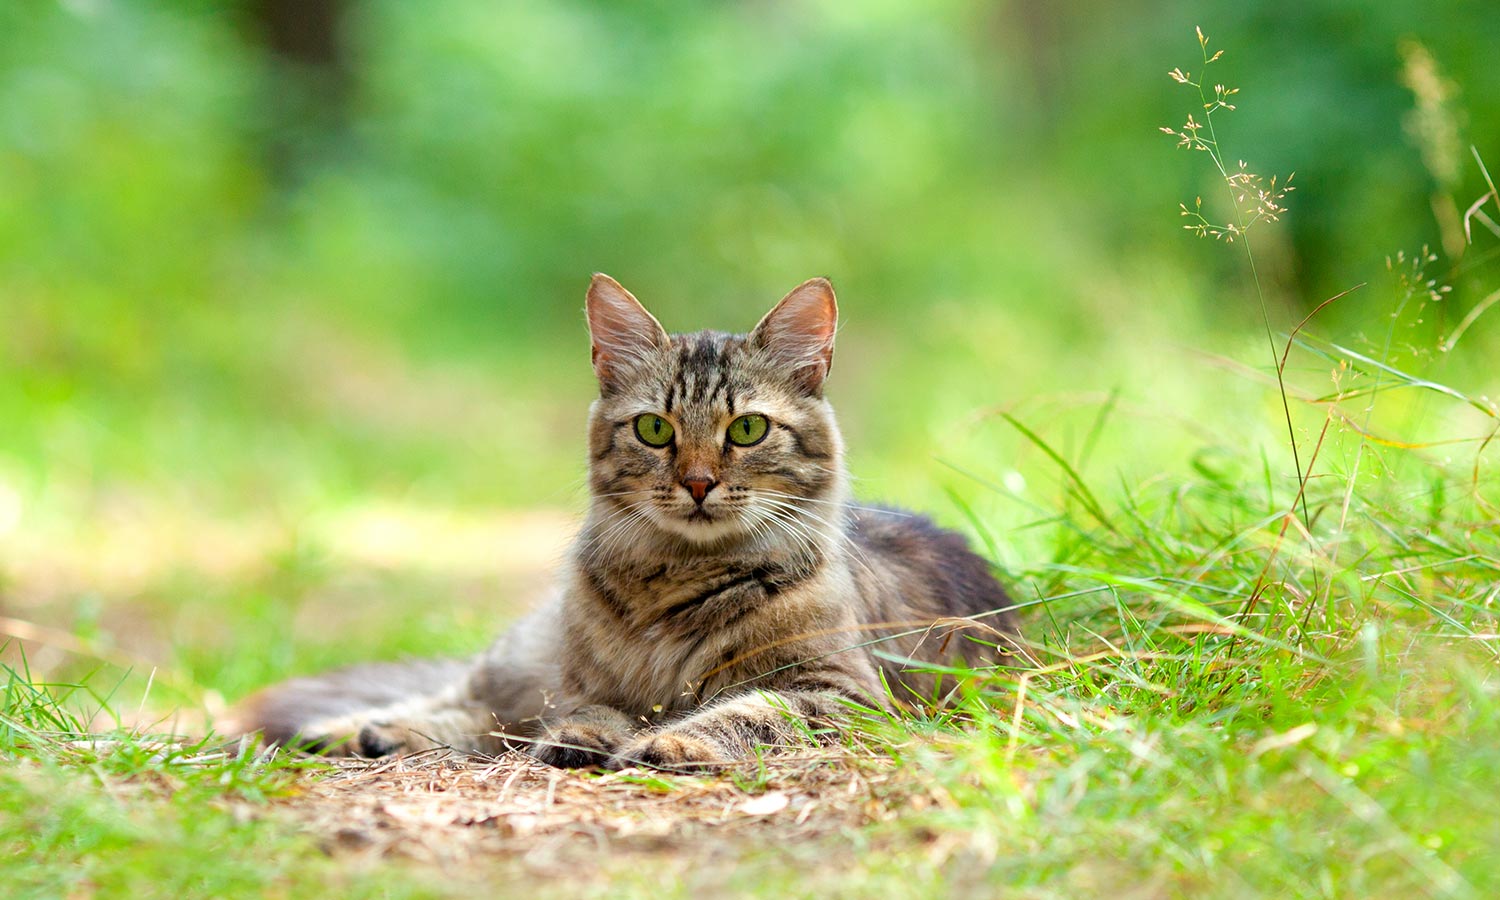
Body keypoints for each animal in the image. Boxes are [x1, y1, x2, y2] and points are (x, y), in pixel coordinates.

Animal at [231, 276, 1020, 774]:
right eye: (654, 429)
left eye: (747, 429)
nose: (697, 483)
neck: (676, 582)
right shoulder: (585, 684)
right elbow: (592, 714)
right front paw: (589, 740)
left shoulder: (840, 692)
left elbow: (746, 711)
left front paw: (674, 745)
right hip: (526, 659)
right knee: (469, 700)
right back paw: (357, 730)